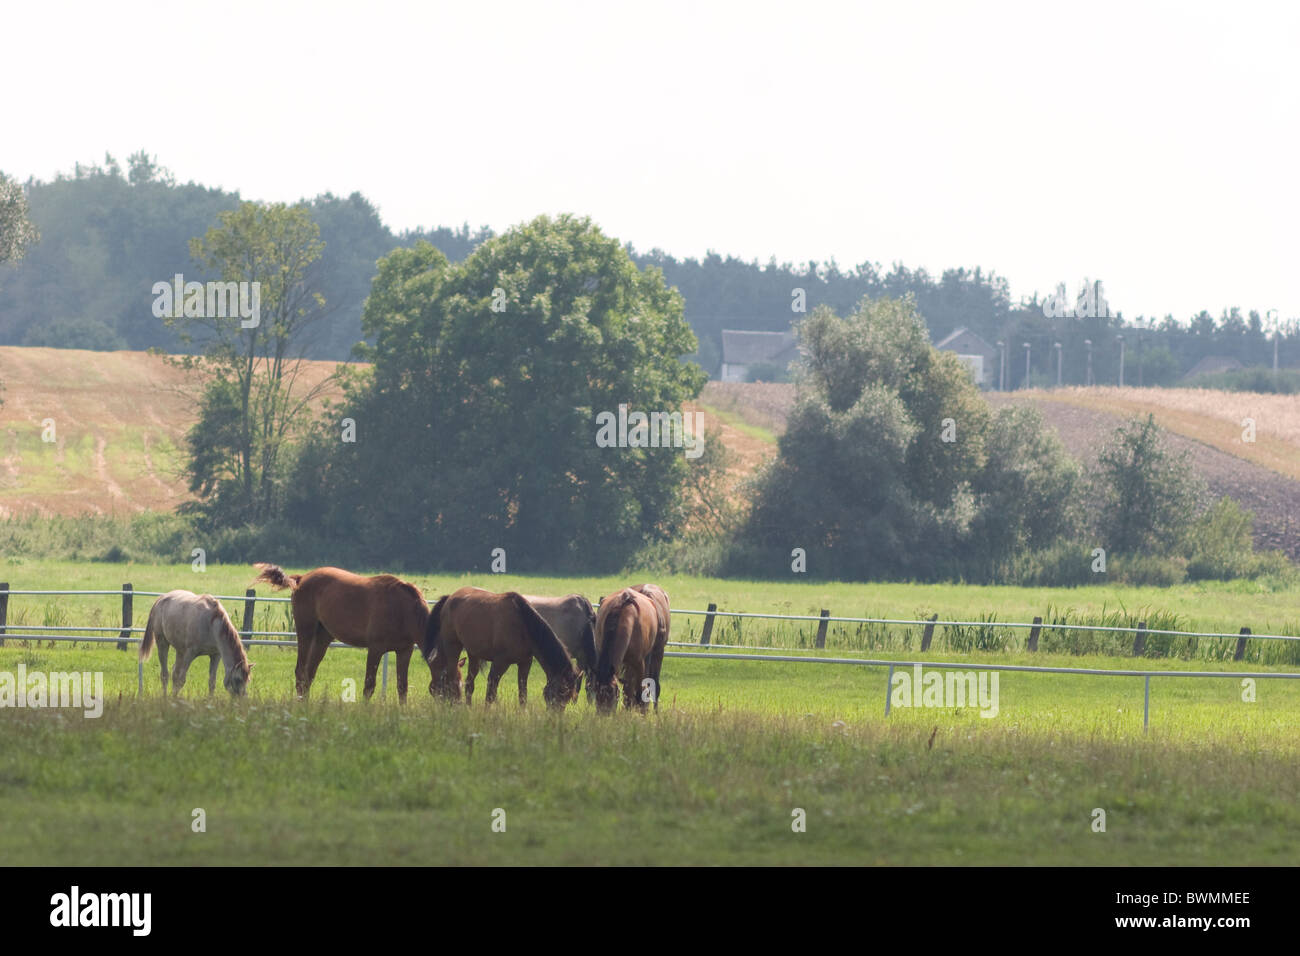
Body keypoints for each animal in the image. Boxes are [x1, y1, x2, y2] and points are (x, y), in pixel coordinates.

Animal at [250, 561, 444, 702]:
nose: (448, 705)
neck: (402, 609)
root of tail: (301, 578)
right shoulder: (375, 649)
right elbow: (369, 686)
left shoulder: (405, 651)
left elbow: (402, 686)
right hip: (306, 632)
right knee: (300, 672)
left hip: (322, 638)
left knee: (309, 674)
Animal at [423, 582, 582, 712]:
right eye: (559, 693)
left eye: (568, 697)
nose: (555, 717)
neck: (522, 624)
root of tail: (450, 598)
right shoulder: (500, 663)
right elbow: (491, 693)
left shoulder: (525, 663)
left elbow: (522, 693)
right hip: (453, 645)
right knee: (452, 676)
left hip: (473, 653)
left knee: (469, 684)